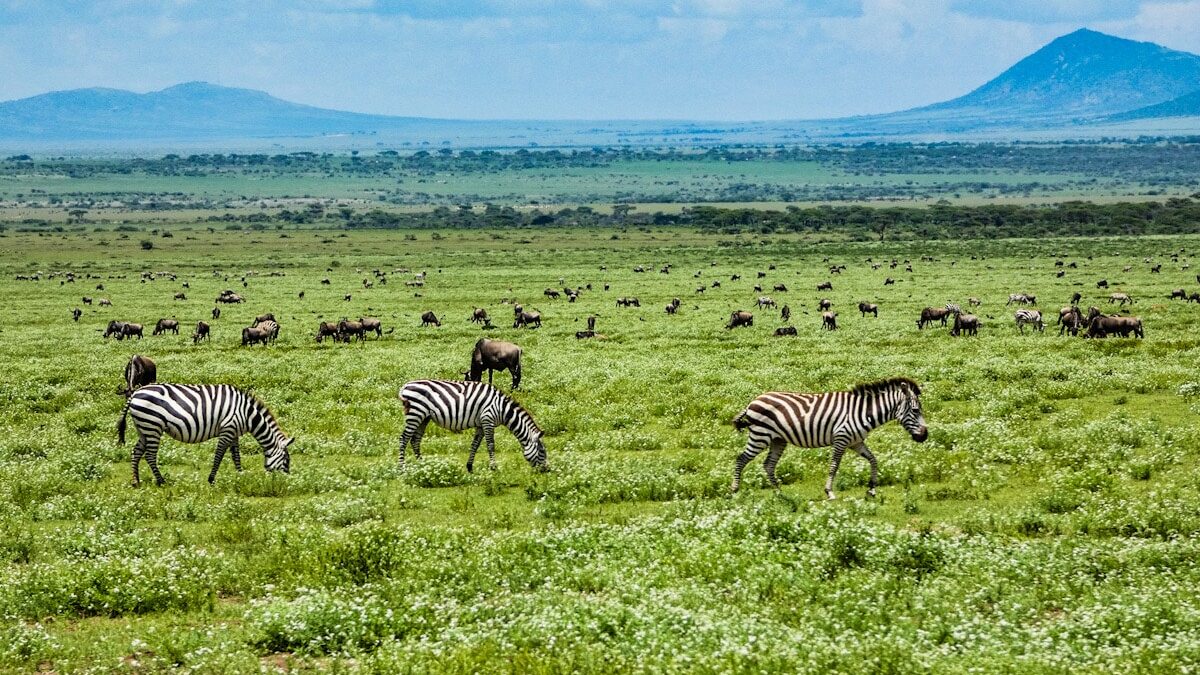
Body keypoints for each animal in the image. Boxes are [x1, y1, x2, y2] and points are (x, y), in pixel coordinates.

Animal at [116, 384, 292, 482]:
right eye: (286, 460)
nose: (288, 480)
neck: (247, 414)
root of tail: (134, 393)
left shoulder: (234, 432)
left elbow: (236, 455)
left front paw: (240, 475)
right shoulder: (228, 429)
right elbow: (219, 455)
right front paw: (211, 479)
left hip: (143, 428)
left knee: (136, 452)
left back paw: (136, 481)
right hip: (153, 426)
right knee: (150, 455)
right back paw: (161, 481)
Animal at [398, 379, 549, 473]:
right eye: (542, 452)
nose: (547, 470)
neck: (503, 409)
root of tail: (405, 386)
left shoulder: (481, 425)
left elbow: (475, 445)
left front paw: (470, 467)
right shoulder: (488, 420)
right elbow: (490, 445)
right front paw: (494, 467)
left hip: (424, 417)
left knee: (415, 440)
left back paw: (422, 465)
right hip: (415, 413)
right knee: (404, 439)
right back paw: (402, 467)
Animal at [729, 374, 926, 497]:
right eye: (916, 411)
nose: (925, 436)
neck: (863, 412)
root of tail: (752, 401)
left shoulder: (856, 441)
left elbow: (873, 460)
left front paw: (871, 489)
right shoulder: (841, 438)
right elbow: (834, 466)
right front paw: (829, 492)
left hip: (778, 439)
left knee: (769, 465)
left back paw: (779, 492)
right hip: (760, 435)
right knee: (741, 459)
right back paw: (734, 489)